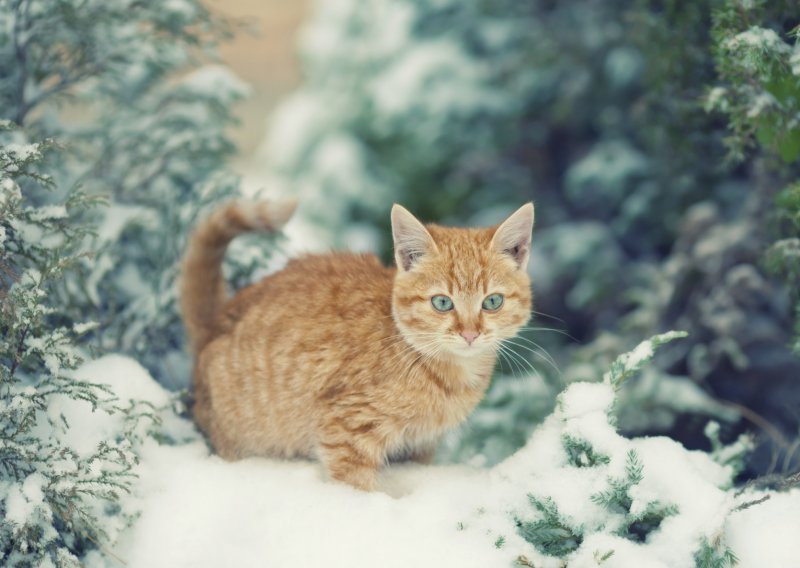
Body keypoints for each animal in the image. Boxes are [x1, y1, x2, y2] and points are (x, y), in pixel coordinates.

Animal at [178, 199, 536, 488]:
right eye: (442, 303)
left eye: (492, 302)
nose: (470, 333)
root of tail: (215, 322)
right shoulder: (347, 426)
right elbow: (355, 484)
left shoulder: (421, 446)